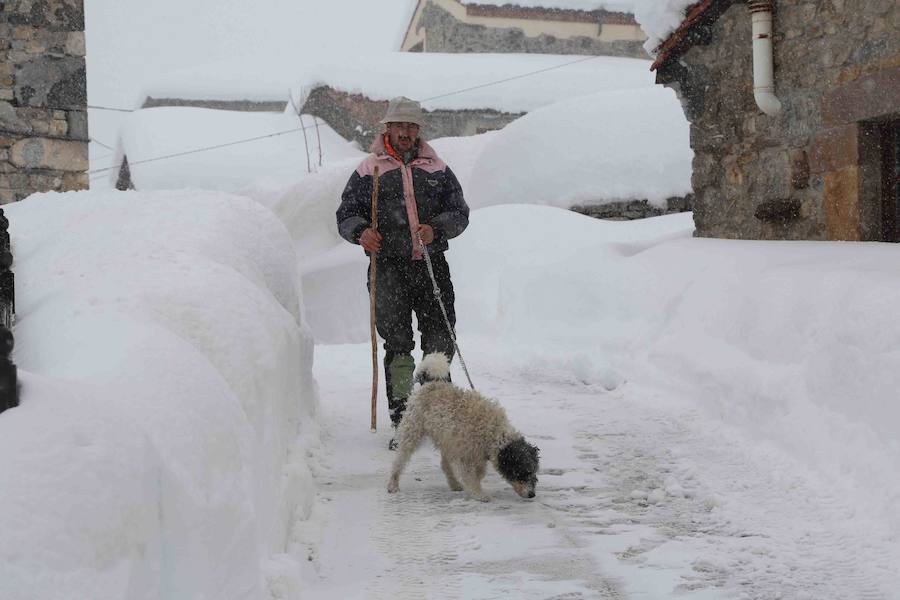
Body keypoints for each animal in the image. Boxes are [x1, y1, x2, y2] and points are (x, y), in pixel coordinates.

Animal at [384, 352, 536, 502]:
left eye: (533, 471)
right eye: (522, 472)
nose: (532, 494)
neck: (493, 432)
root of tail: (430, 384)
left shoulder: (475, 453)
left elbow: (478, 472)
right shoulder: (466, 454)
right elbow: (471, 476)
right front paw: (479, 494)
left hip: (447, 439)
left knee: (445, 465)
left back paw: (454, 484)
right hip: (413, 432)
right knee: (399, 460)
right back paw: (393, 484)